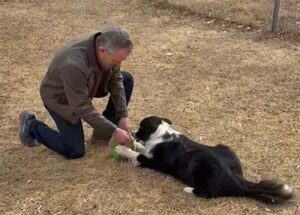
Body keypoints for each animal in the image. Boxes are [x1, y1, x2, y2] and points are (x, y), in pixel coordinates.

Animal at [116, 116, 294, 203]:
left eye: (141, 128)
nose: (133, 133)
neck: (162, 135)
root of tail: (238, 181)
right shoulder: (147, 150)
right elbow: (141, 147)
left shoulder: (151, 161)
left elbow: (136, 154)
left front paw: (121, 148)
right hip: (225, 147)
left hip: (201, 166)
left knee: (207, 194)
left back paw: (189, 189)